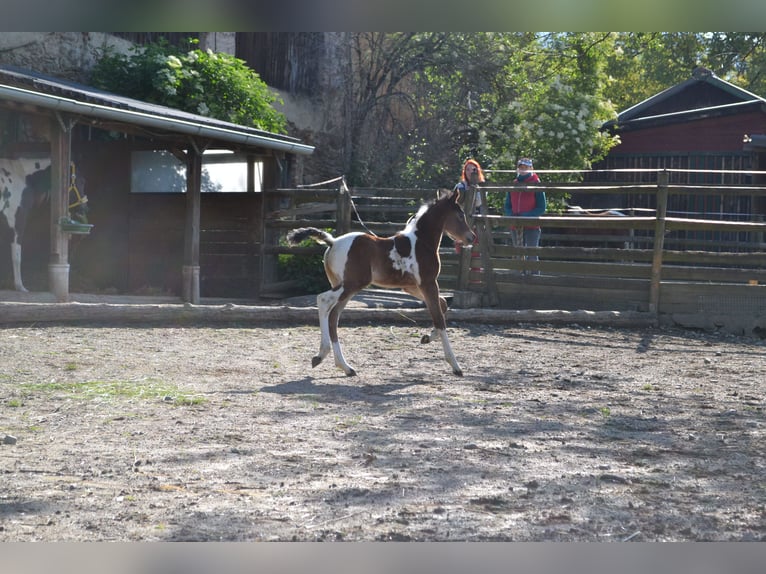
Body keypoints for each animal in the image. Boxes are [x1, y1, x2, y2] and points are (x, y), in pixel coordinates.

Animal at [0, 159, 88, 292]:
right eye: (81, 181)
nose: (84, 208)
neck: (22, 177)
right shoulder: (17, 223)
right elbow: (16, 255)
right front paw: (20, 286)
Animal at [286, 188, 476, 377]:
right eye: (460, 215)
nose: (471, 237)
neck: (422, 242)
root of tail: (332, 242)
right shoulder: (428, 283)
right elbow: (439, 318)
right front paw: (455, 365)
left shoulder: (411, 286)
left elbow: (442, 305)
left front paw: (427, 337)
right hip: (352, 284)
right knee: (324, 301)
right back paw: (325, 356)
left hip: (345, 287)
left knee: (333, 317)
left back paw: (343, 366)